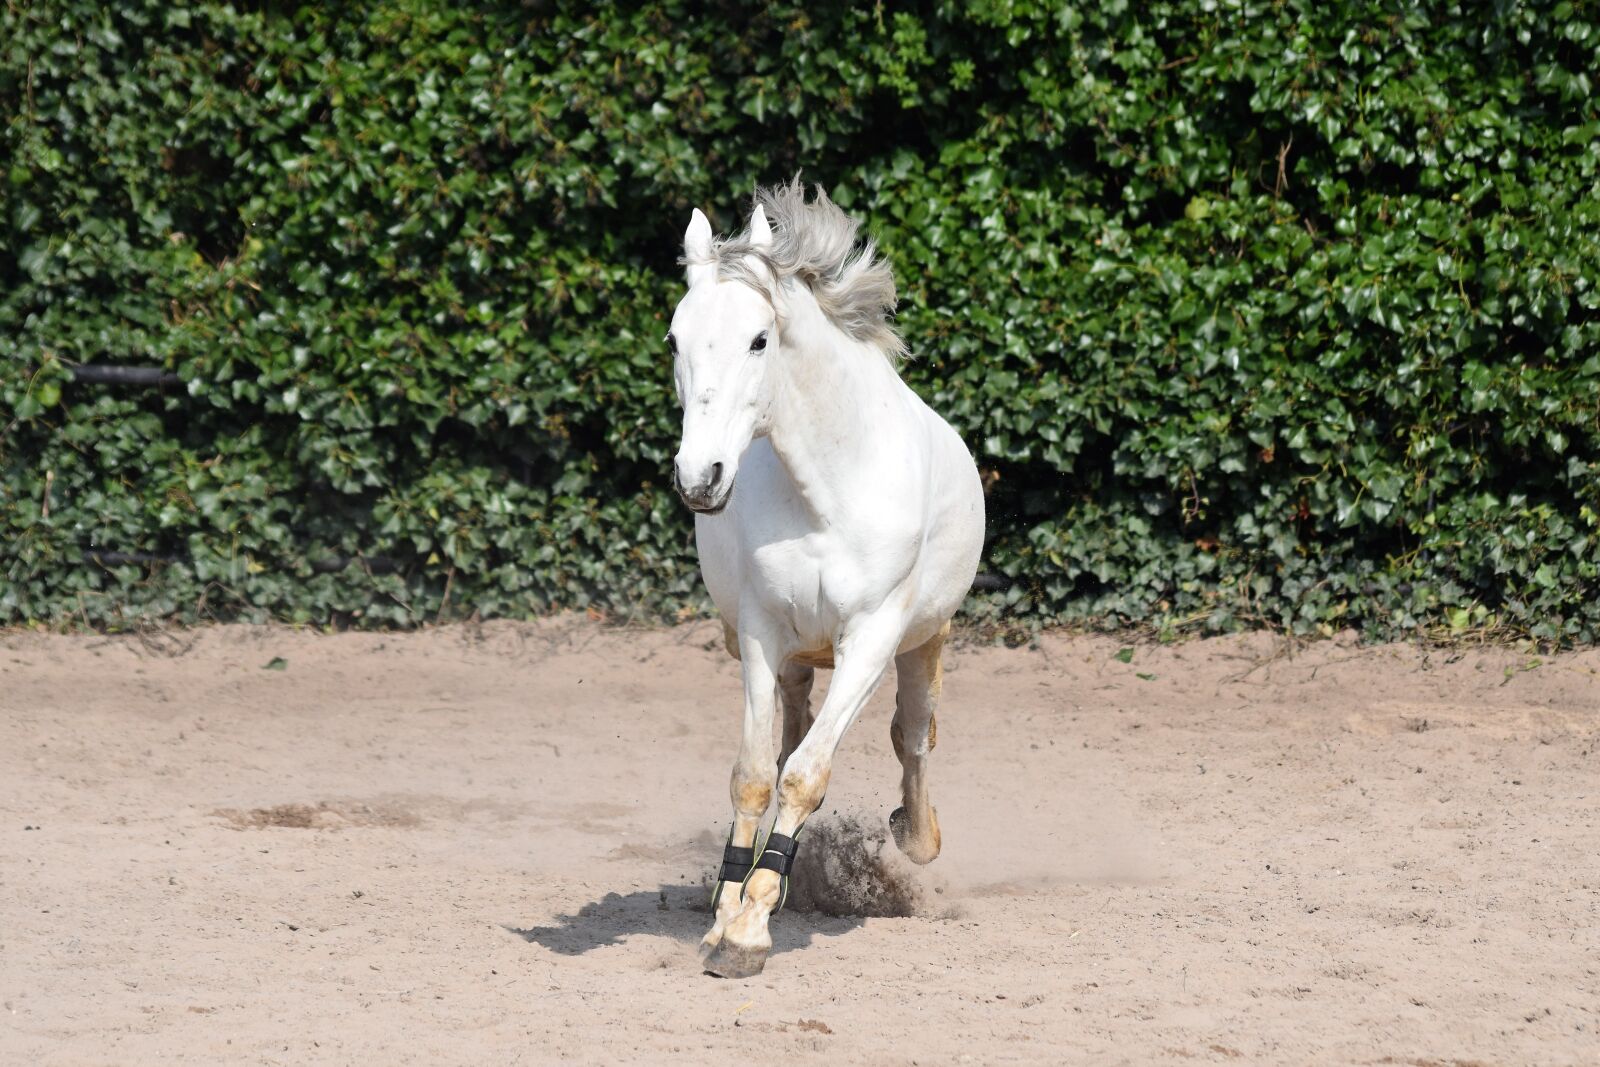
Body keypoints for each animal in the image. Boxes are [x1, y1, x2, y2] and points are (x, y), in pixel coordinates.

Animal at [667, 180, 985, 978]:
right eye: (675, 340)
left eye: (759, 339)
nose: (699, 478)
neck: (826, 492)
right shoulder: (760, 635)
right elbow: (758, 772)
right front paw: (729, 916)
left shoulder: (870, 640)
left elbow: (809, 773)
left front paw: (749, 932)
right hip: (795, 660)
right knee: (792, 736)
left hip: (923, 644)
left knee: (912, 737)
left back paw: (916, 836)